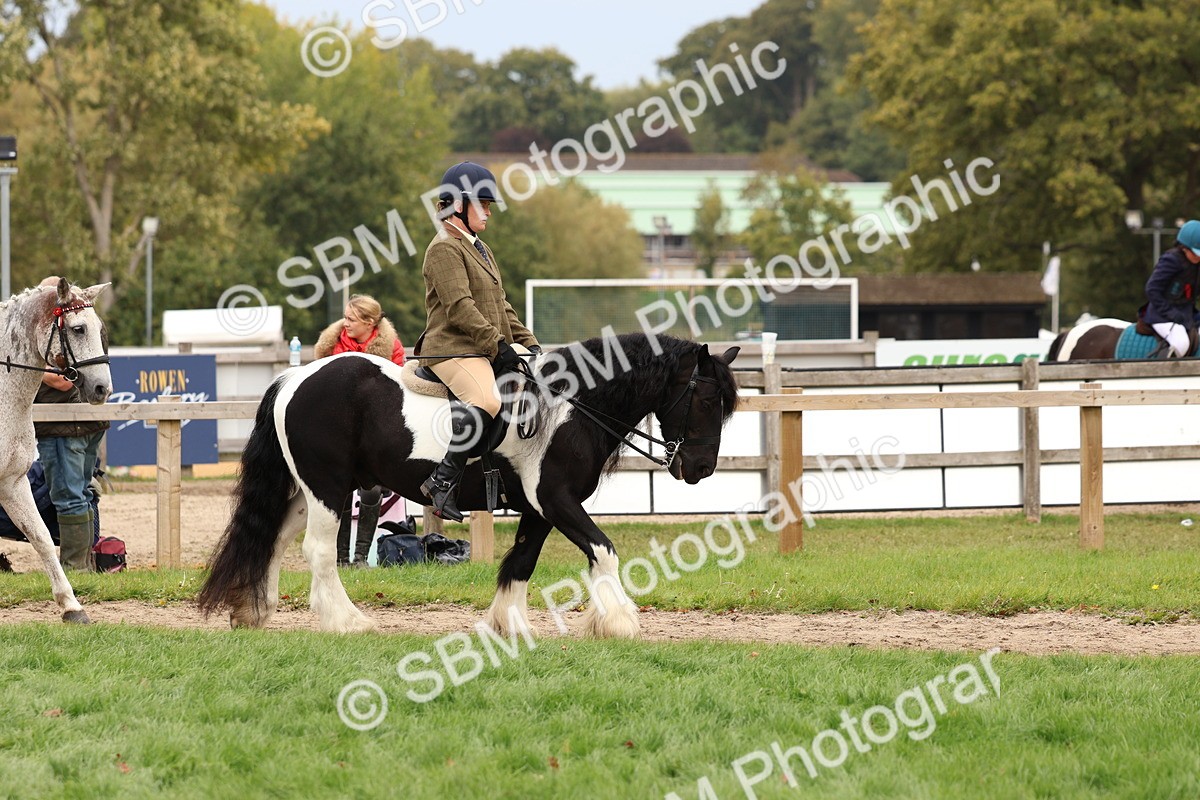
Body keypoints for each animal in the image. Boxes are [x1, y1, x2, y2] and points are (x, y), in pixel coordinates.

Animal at [0, 278, 112, 622]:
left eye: (99, 329)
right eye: (78, 329)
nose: (102, 389)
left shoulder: (12, 482)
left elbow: (42, 538)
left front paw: (71, 605)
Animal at [198, 332, 740, 638]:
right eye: (707, 399)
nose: (700, 467)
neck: (570, 407)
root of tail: (293, 378)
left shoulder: (538, 509)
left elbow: (521, 562)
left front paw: (508, 624)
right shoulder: (557, 501)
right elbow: (603, 550)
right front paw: (619, 621)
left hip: (305, 492)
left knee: (273, 538)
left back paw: (253, 610)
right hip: (328, 489)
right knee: (317, 550)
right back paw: (345, 621)